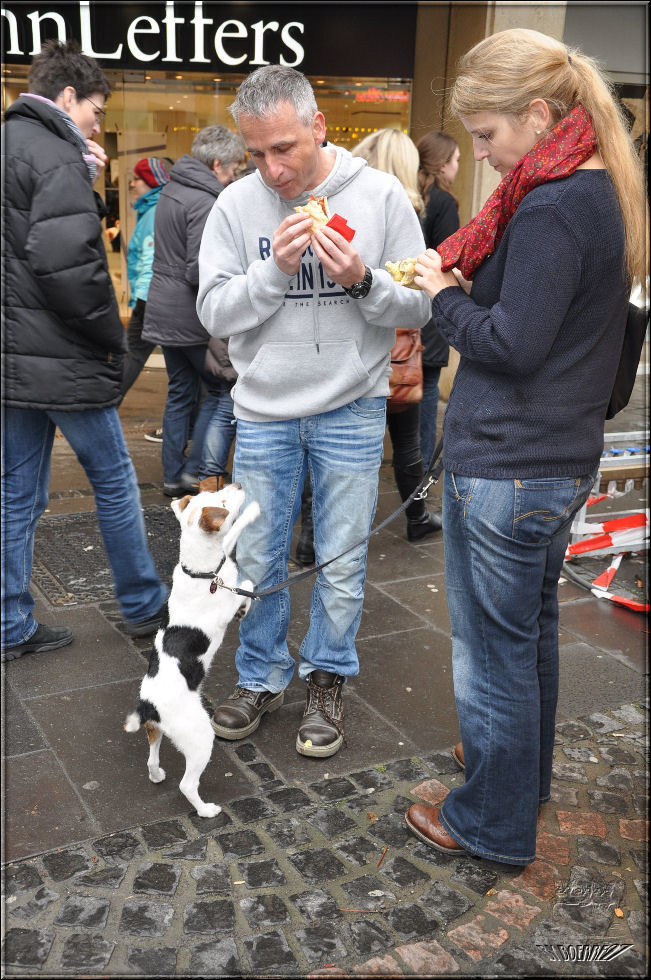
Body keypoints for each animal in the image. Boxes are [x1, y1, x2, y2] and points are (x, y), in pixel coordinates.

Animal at [125, 482, 260, 820]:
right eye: (222, 501)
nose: (238, 484)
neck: (201, 572)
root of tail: (148, 705)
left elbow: (232, 537)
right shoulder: (225, 604)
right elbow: (248, 585)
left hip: (156, 731)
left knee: (151, 758)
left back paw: (157, 775)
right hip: (201, 739)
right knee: (187, 785)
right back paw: (206, 810)